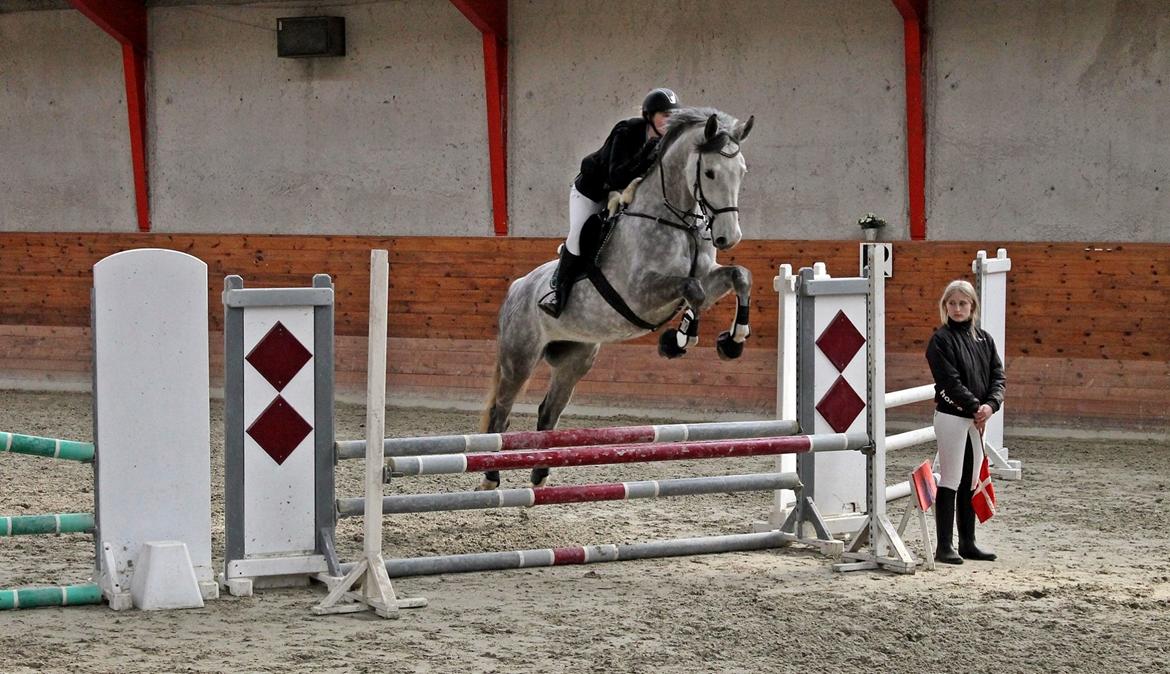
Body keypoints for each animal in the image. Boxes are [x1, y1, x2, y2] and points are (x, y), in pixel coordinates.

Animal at [477, 110, 758, 489]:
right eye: (710, 172)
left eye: (741, 171)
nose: (729, 237)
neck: (676, 222)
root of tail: (517, 287)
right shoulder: (640, 293)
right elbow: (692, 291)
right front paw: (679, 340)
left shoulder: (708, 276)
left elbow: (738, 276)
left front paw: (732, 341)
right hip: (519, 358)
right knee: (501, 412)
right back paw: (491, 477)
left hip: (575, 360)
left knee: (548, 411)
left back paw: (540, 474)